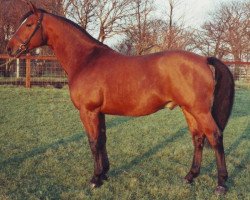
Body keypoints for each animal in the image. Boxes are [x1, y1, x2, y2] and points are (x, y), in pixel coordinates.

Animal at [7, 1, 234, 195]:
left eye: (28, 24)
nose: (9, 49)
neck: (86, 59)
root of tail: (204, 59)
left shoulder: (88, 111)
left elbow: (93, 142)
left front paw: (95, 179)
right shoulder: (99, 112)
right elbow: (102, 139)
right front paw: (104, 174)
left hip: (200, 111)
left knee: (215, 137)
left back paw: (221, 184)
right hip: (188, 110)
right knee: (198, 138)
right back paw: (190, 176)